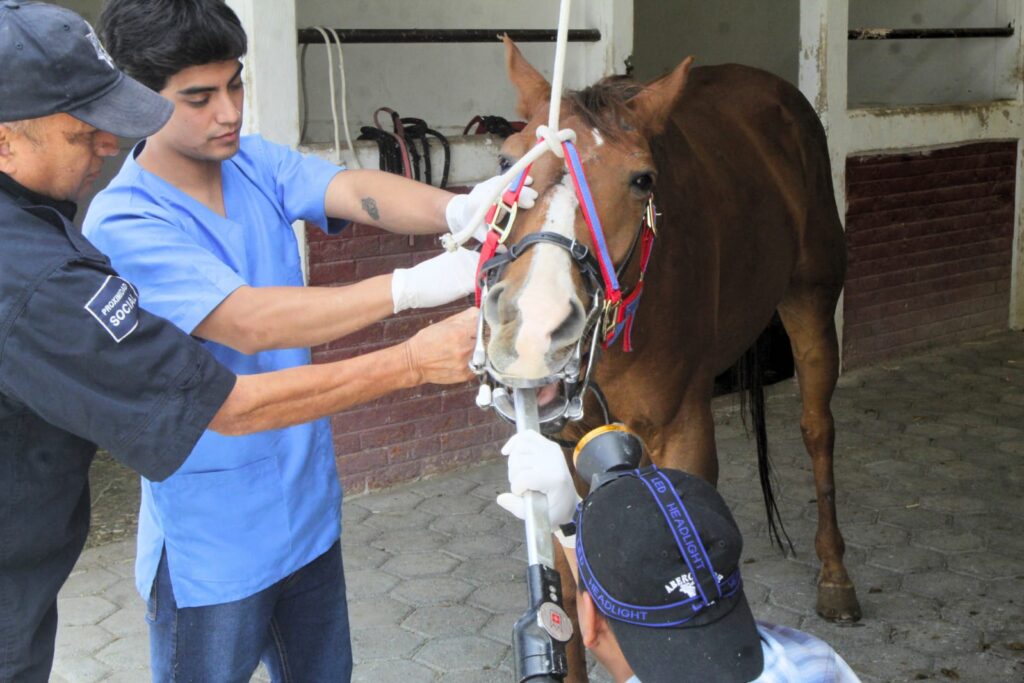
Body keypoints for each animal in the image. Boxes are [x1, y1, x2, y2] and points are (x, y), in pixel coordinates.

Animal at [483, 41, 860, 679]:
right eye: (509, 161)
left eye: (642, 180)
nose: (534, 328)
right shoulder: (558, 445)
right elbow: (566, 591)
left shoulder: (682, 432)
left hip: (810, 300)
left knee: (818, 429)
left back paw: (835, 574)